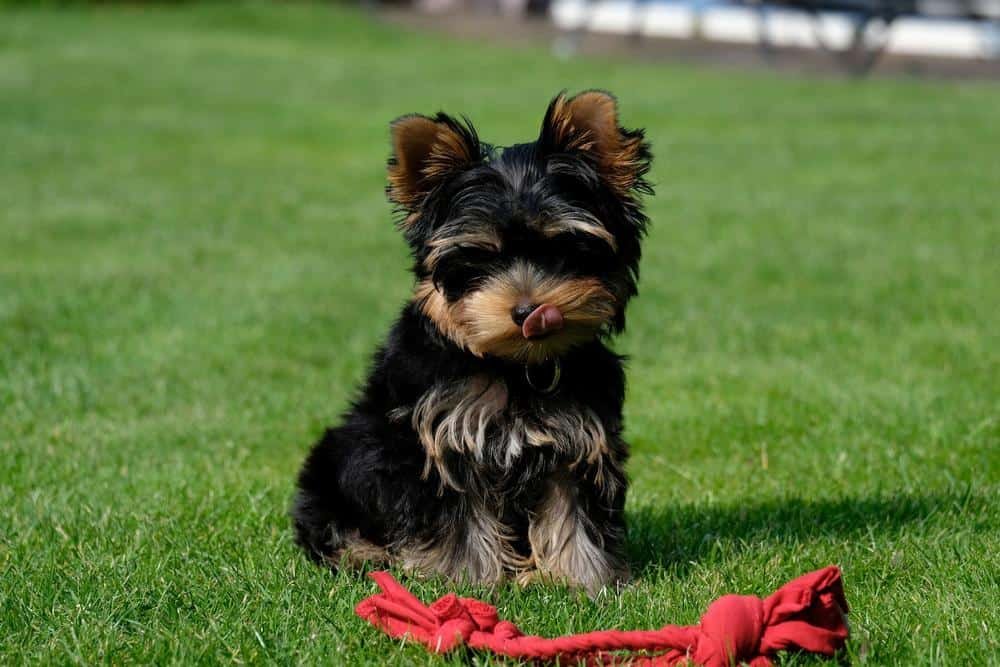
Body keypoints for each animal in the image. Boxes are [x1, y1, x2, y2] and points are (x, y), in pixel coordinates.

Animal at [292, 90, 652, 596]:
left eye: (564, 249)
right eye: (479, 258)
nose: (526, 311)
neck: (516, 365)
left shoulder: (579, 435)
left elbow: (572, 509)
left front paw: (582, 581)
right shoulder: (440, 436)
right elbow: (457, 514)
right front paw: (466, 583)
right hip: (331, 465)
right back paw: (365, 554)